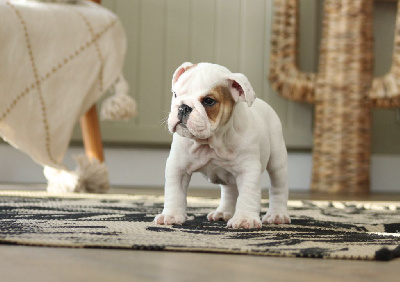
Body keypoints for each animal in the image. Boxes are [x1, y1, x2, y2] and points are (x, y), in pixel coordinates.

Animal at [154, 62, 290, 229]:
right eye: (175, 95)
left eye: (208, 101)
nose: (183, 107)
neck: (210, 142)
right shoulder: (178, 167)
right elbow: (175, 192)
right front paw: (171, 215)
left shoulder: (248, 169)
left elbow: (248, 195)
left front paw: (245, 219)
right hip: (228, 175)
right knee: (230, 191)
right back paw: (223, 213)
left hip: (277, 161)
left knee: (278, 187)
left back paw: (277, 215)